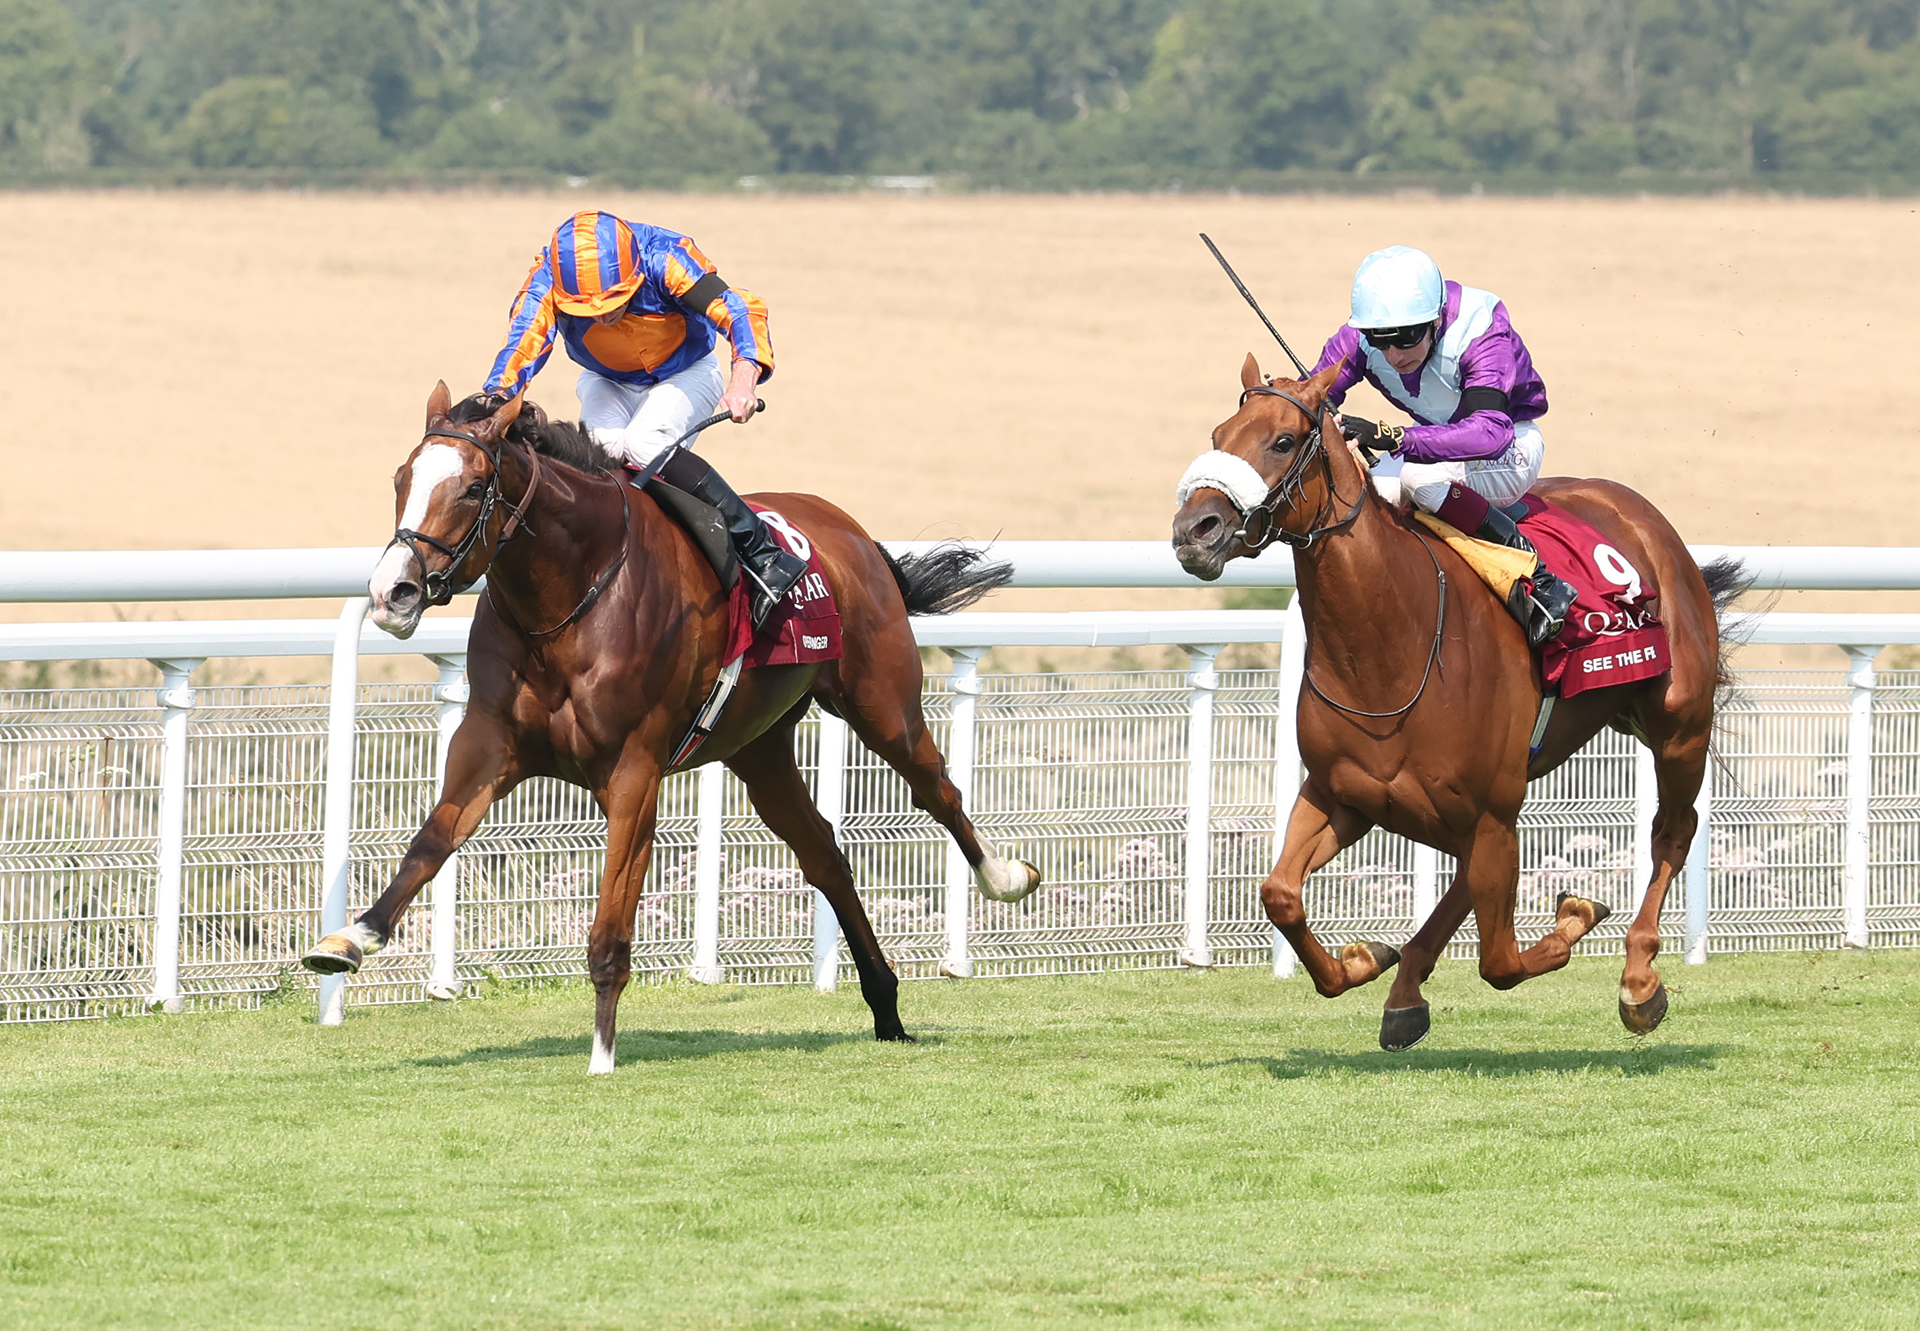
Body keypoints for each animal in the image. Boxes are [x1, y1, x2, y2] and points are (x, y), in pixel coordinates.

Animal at [299, 384, 1036, 1067]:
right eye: (401, 479)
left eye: (474, 486)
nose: (391, 593)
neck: (570, 597)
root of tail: (856, 535)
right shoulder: (489, 743)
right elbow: (431, 842)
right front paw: (351, 938)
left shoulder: (634, 769)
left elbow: (609, 927)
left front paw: (602, 1053)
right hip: (758, 747)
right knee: (824, 851)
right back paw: (885, 1007)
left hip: (884, 705)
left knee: (939, 793)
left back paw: (1005, 879)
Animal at [1159, 353, 1751, 1052]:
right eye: (1219, 435)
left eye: (1282, 440)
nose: (1195, 530)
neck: (1389, 648)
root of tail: (1642, 515)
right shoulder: (1343, 795)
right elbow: (1280, 892)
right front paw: (1362, 960)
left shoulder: (1492, 812)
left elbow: (1502, 963)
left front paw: (1575, 916)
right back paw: (1404, 992)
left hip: (1678, 726)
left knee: (1673, 830)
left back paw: (1639, 979)